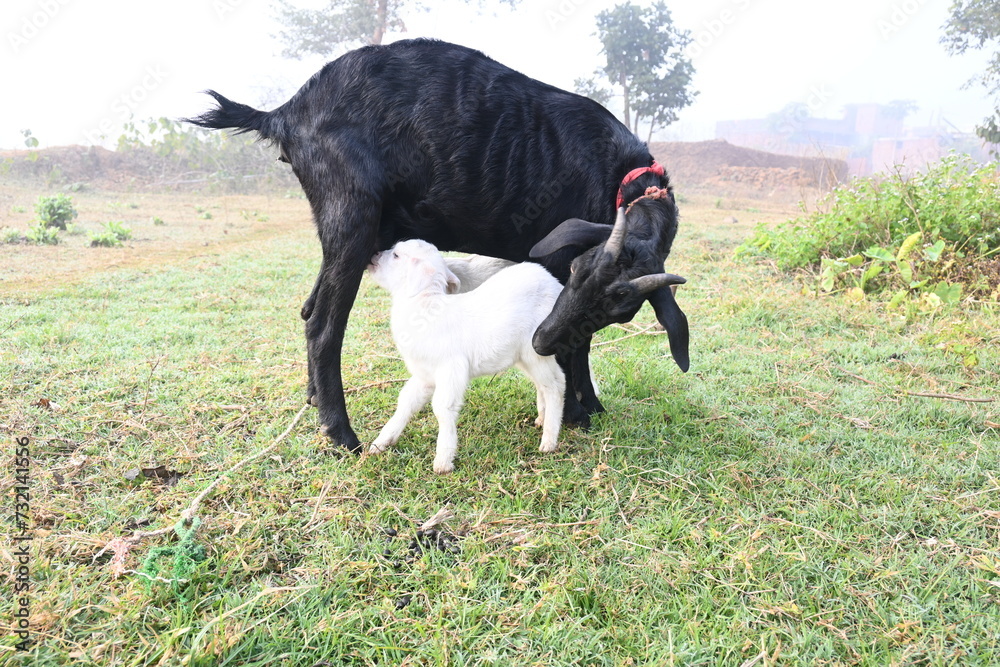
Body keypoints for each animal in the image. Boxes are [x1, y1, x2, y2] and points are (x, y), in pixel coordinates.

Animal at [367, 239, 565, 474]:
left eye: (396, 255)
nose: (373, 255)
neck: (425, 309)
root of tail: (554, 283)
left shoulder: (451, 367)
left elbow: (443, 408)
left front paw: (443, 461)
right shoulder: (425, 375)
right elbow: (406, 401)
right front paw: (382, 442)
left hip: (536, 347)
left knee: (555, 385)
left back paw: (549, 440)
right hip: (523, 356)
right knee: (542, 384)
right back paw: (542, 419)